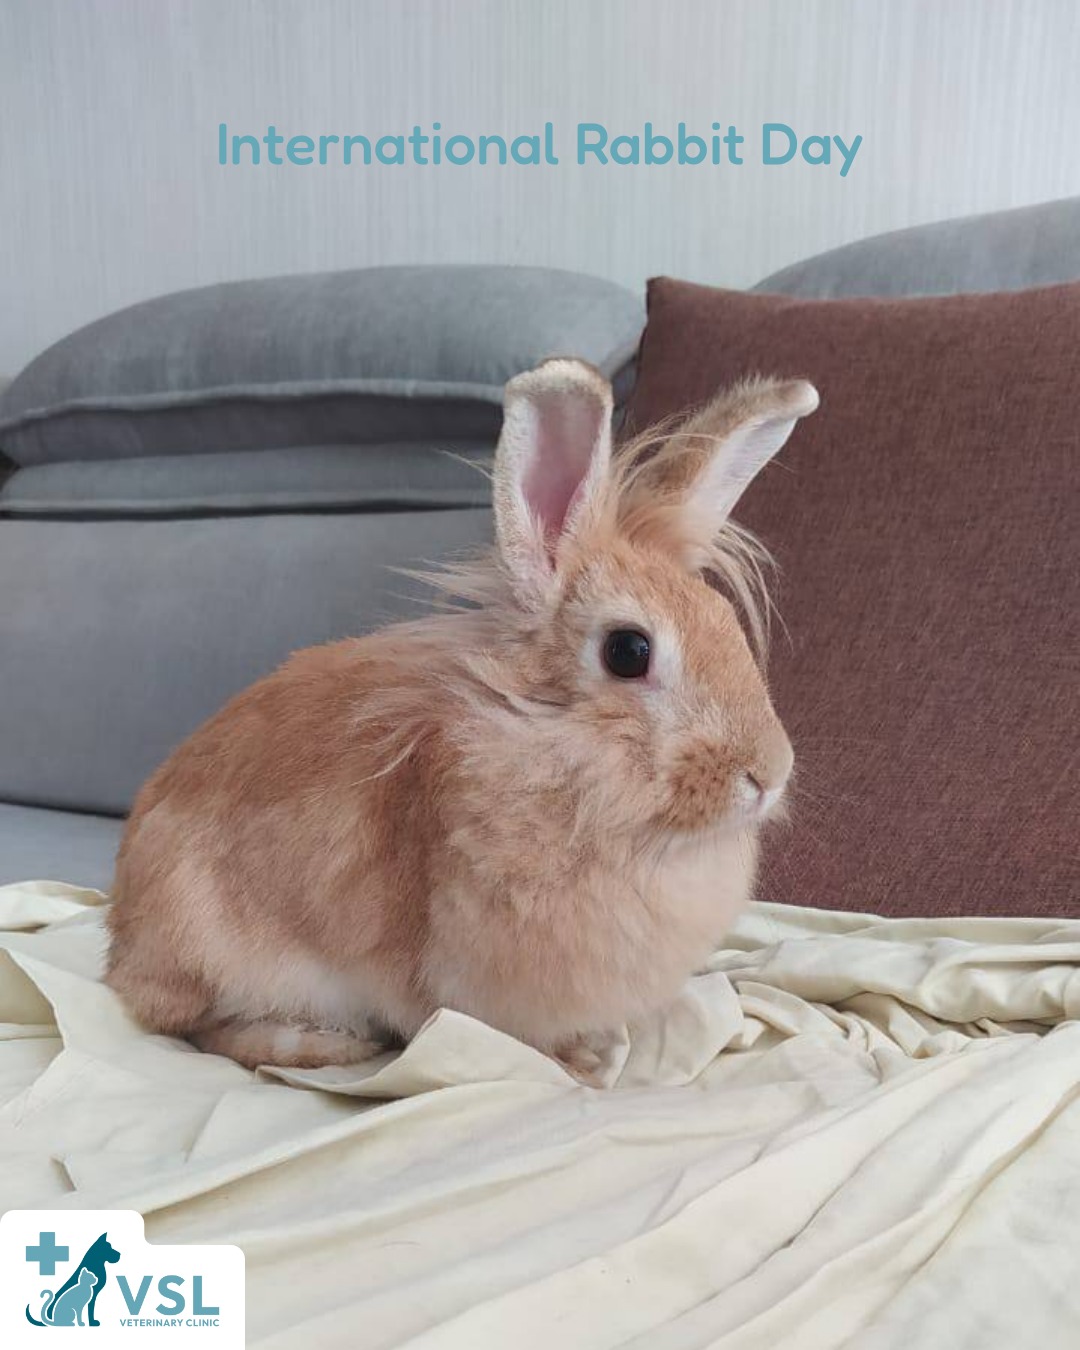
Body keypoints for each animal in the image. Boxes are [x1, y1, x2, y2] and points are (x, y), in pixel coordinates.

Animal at [105, 359, 818, 1084]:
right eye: (628, 651)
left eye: (727, 625)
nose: (769, 774)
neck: (549, 751)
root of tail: (123, 946)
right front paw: (580, 1064)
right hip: (219, 949)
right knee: (200, 1030)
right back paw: (319, 1045)